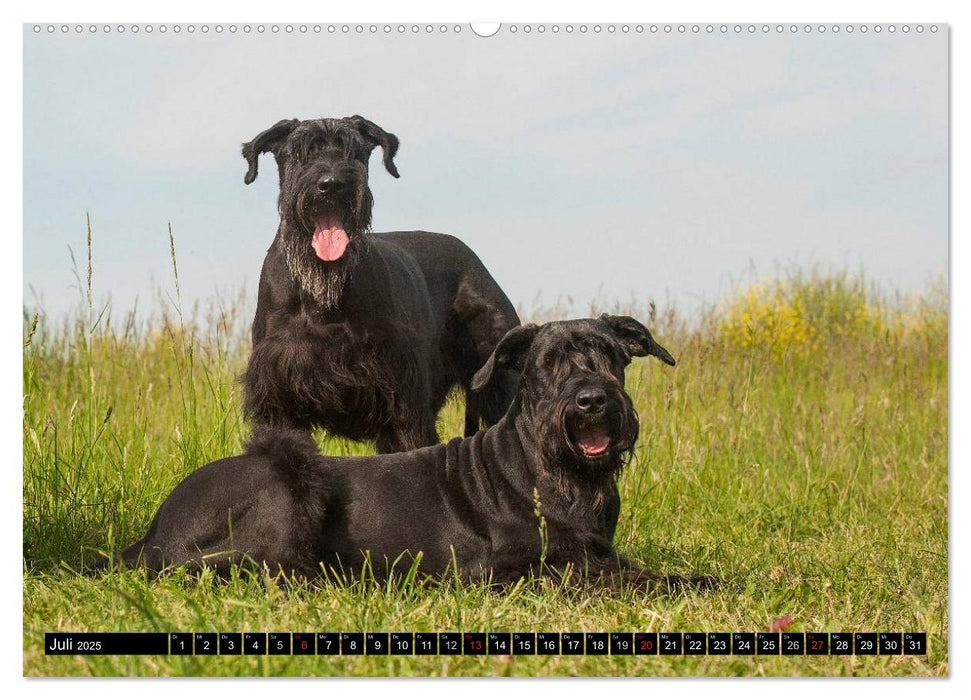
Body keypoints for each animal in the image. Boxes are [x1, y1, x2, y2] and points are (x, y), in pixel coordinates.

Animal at [104, 318, 700, 592]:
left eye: (611, 355)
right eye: (548, 363)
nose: (592, 400)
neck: (554, 471)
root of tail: (155, 529)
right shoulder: (502, 570)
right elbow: (600, 576)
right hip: (290, 478)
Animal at [243, 115, 524, 454]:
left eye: (355, 152)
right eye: (299, 152)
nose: (331, 184)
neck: (323, 294)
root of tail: (474, 260)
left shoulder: (402, 405)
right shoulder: (280, 402)